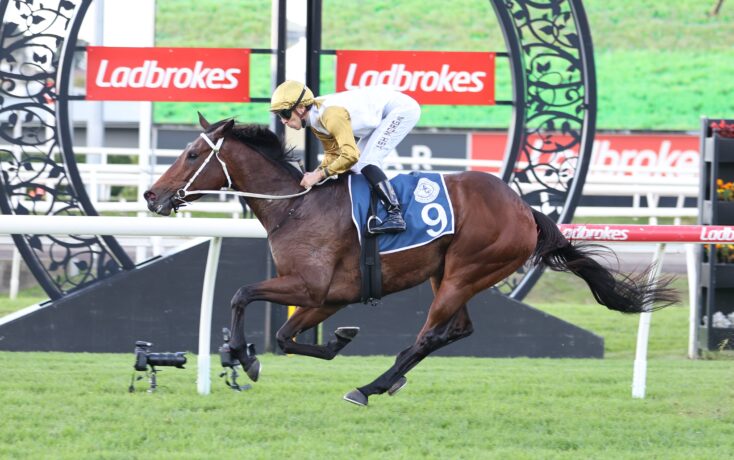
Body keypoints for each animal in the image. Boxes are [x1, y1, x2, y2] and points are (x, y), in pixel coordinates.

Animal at [143, 114, 678, 406]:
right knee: (456, 330)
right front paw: (333, 340)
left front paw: (241, 354)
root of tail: (525, 209)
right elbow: (287, 336)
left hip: (465, 271)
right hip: (449, 275)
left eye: (192, 155)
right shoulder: (330, 296)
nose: (151, 195)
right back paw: (389, 379)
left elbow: (240, 293)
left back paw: (371, 386)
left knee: (431, 335)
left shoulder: (310, 285)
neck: (295, 206)